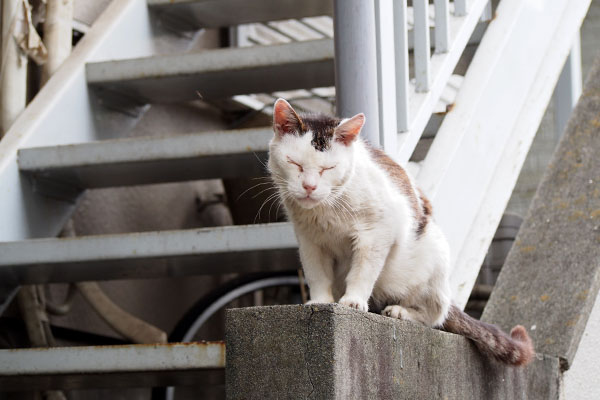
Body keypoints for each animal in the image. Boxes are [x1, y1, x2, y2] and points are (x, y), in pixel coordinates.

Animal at [268, 97, 536, 366]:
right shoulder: (308, 240)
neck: (326, 210)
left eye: (328, 168)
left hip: (432, 260)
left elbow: (362, 271)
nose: (309, 186)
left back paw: (400, 311)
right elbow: (317, 275)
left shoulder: (379, 230)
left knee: (435, 314)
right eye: (294, 163)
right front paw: (321, 301)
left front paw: (353, 301)